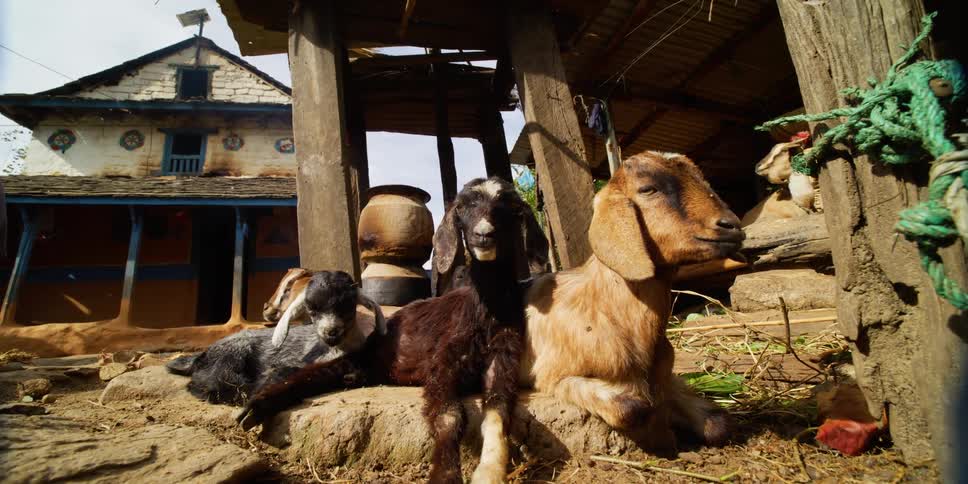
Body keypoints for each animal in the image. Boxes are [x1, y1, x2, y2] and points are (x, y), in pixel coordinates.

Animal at [166, 270, 385, 404]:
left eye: (348, 306)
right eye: (311, 310)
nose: (331, 331)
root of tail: (202, 355)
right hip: (231, 354)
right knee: (210, 381)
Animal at [237, 177, 532, 484]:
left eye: (509, 207)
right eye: (462, 206)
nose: (483, 234)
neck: (484, 311)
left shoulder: (503, 356)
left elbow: (498, 414)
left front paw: (490, 472)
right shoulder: (442, 361)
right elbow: (450, 417)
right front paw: (446, 474)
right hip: (363, 355)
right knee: (310, 374)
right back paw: (256, 407)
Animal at [521, 151, 745, 450]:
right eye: (648, 189)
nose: (732, 226)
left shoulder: (666, 377)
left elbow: (718, 424)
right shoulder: (551, 375)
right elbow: (632, 407)